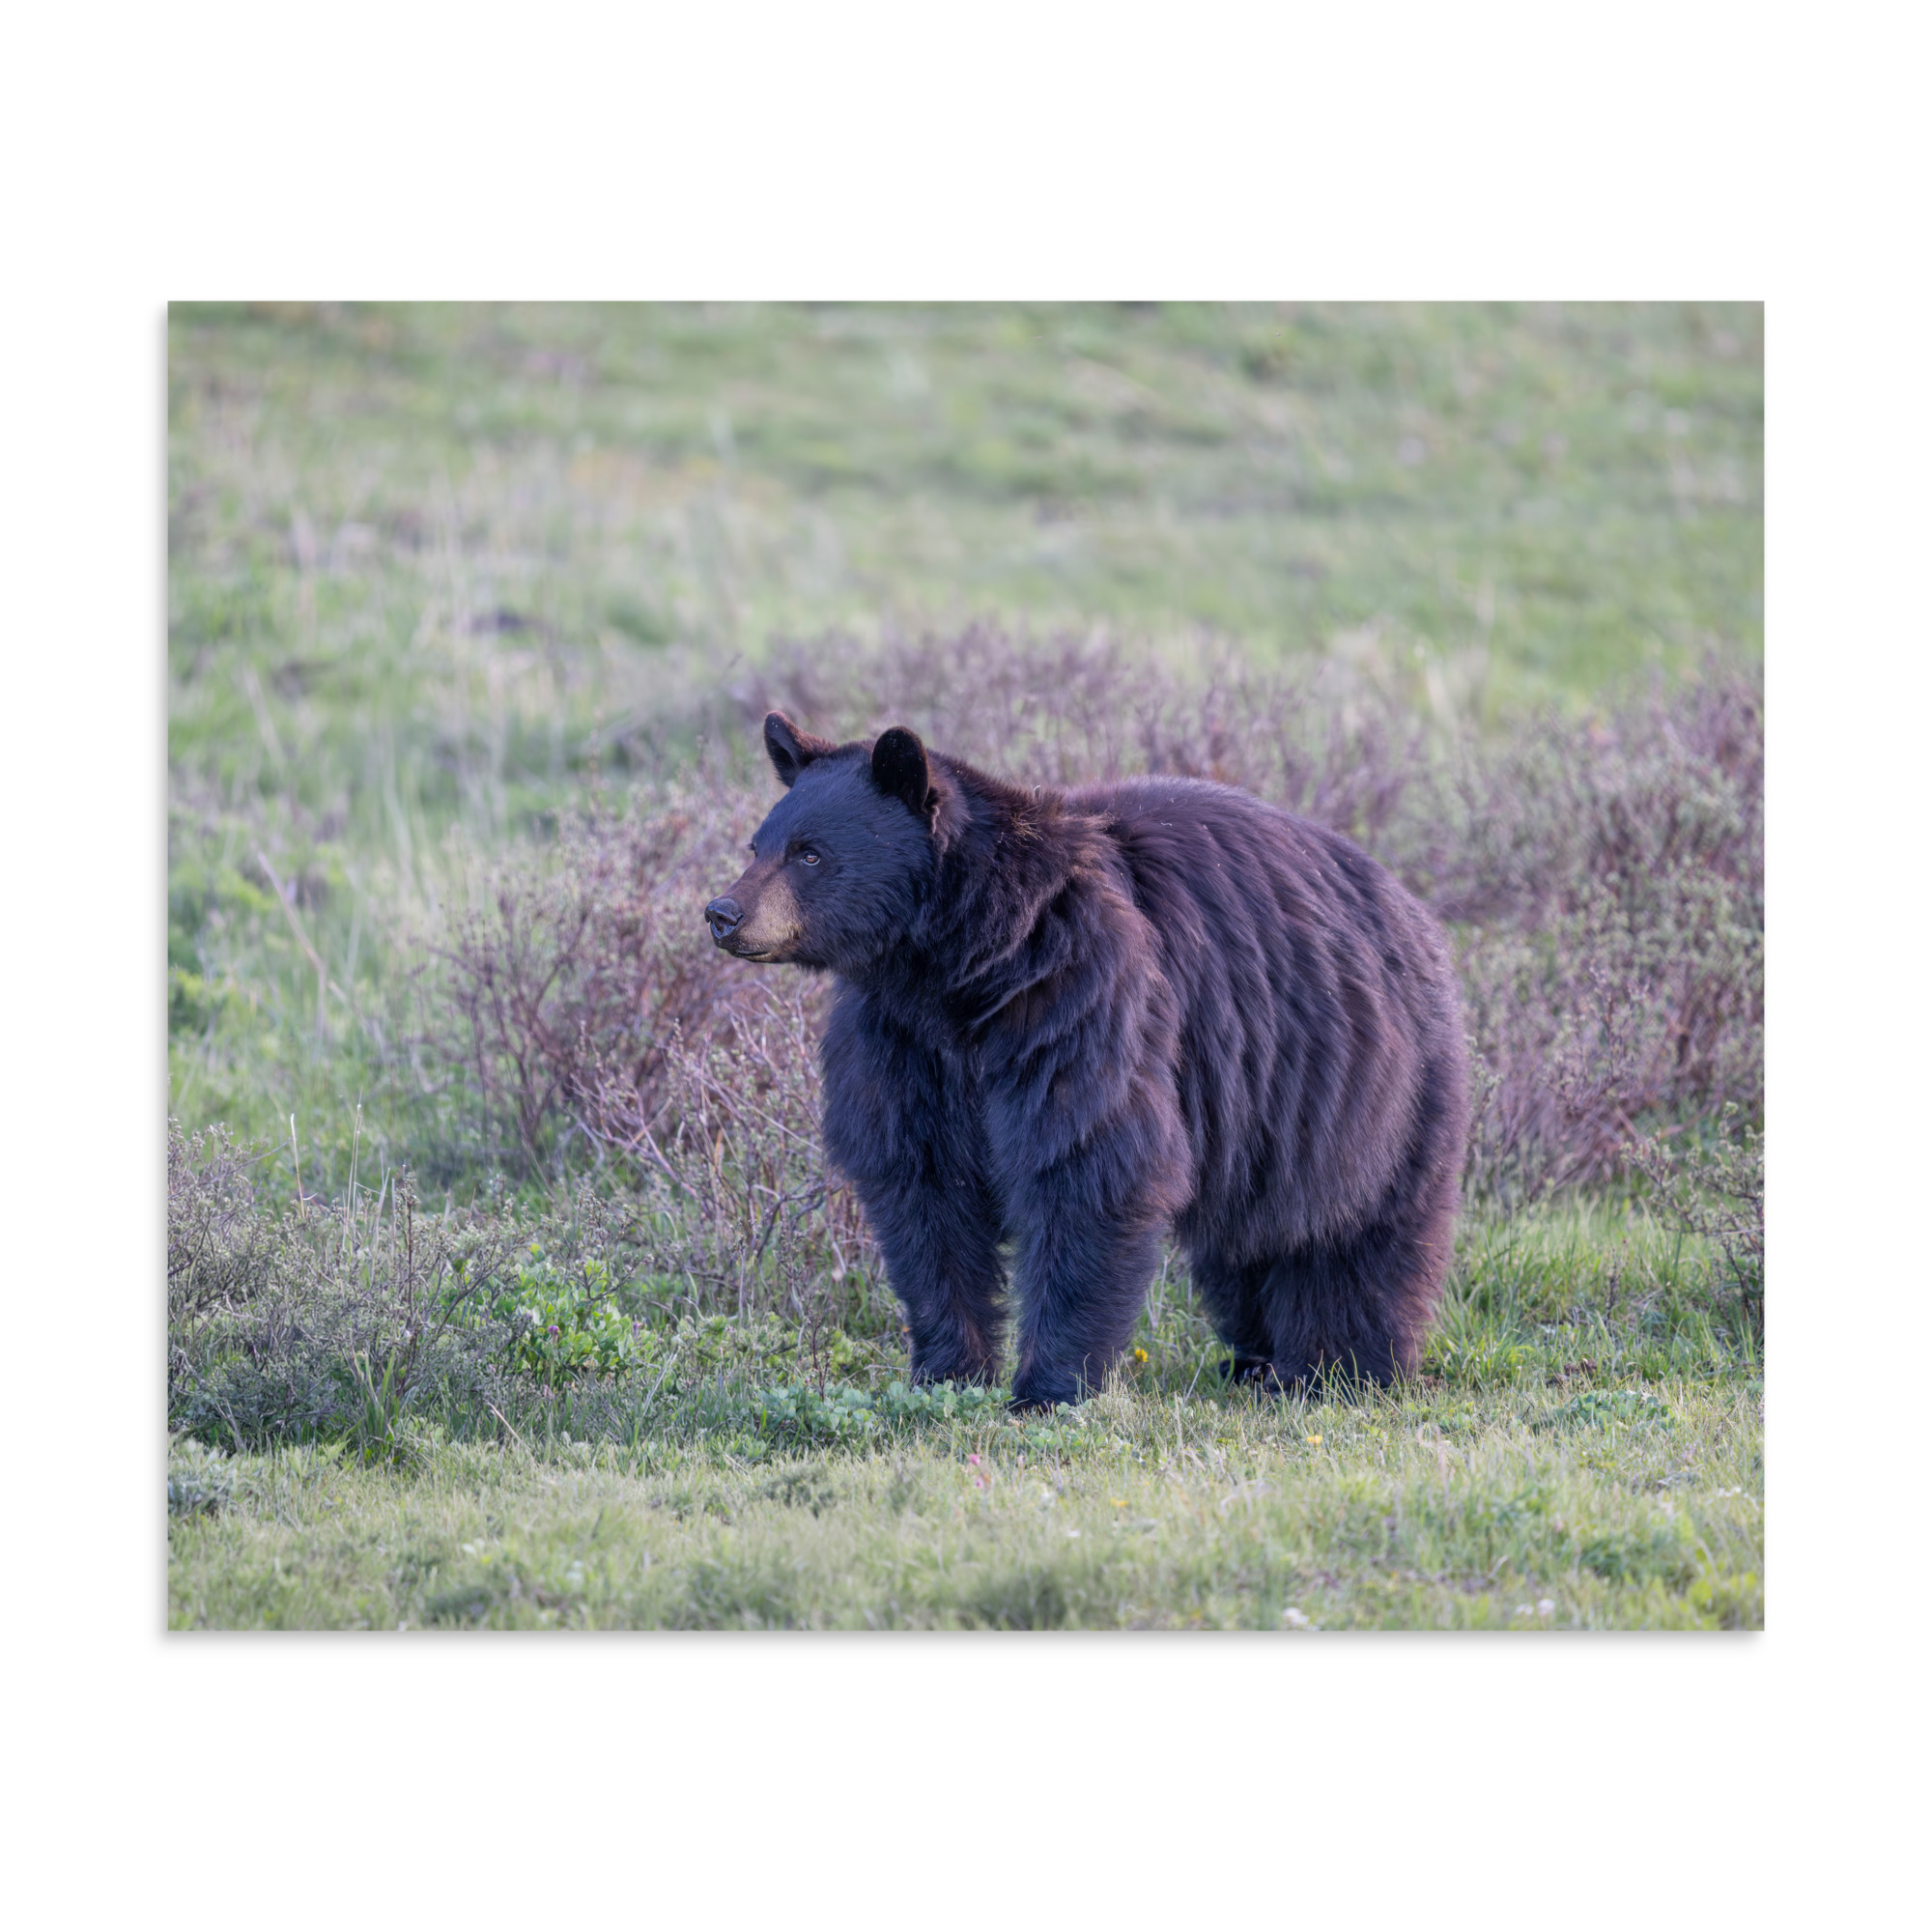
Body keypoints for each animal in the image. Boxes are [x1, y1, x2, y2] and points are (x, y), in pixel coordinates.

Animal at [704, 711, 1470, 1411]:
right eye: (758, 843)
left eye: (809, 853)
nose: (723, 912)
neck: (960, 966)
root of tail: (1410, 906)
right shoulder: (901, 1043)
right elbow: (923, 1189)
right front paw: (946, 1372)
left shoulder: (1079, 997)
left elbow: (1087, 1164)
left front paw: (1048, 1388)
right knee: (1248, 1242)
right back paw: (1255, 1360)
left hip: (1367, 1084)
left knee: (1358, 1233)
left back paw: (1340, 1368)